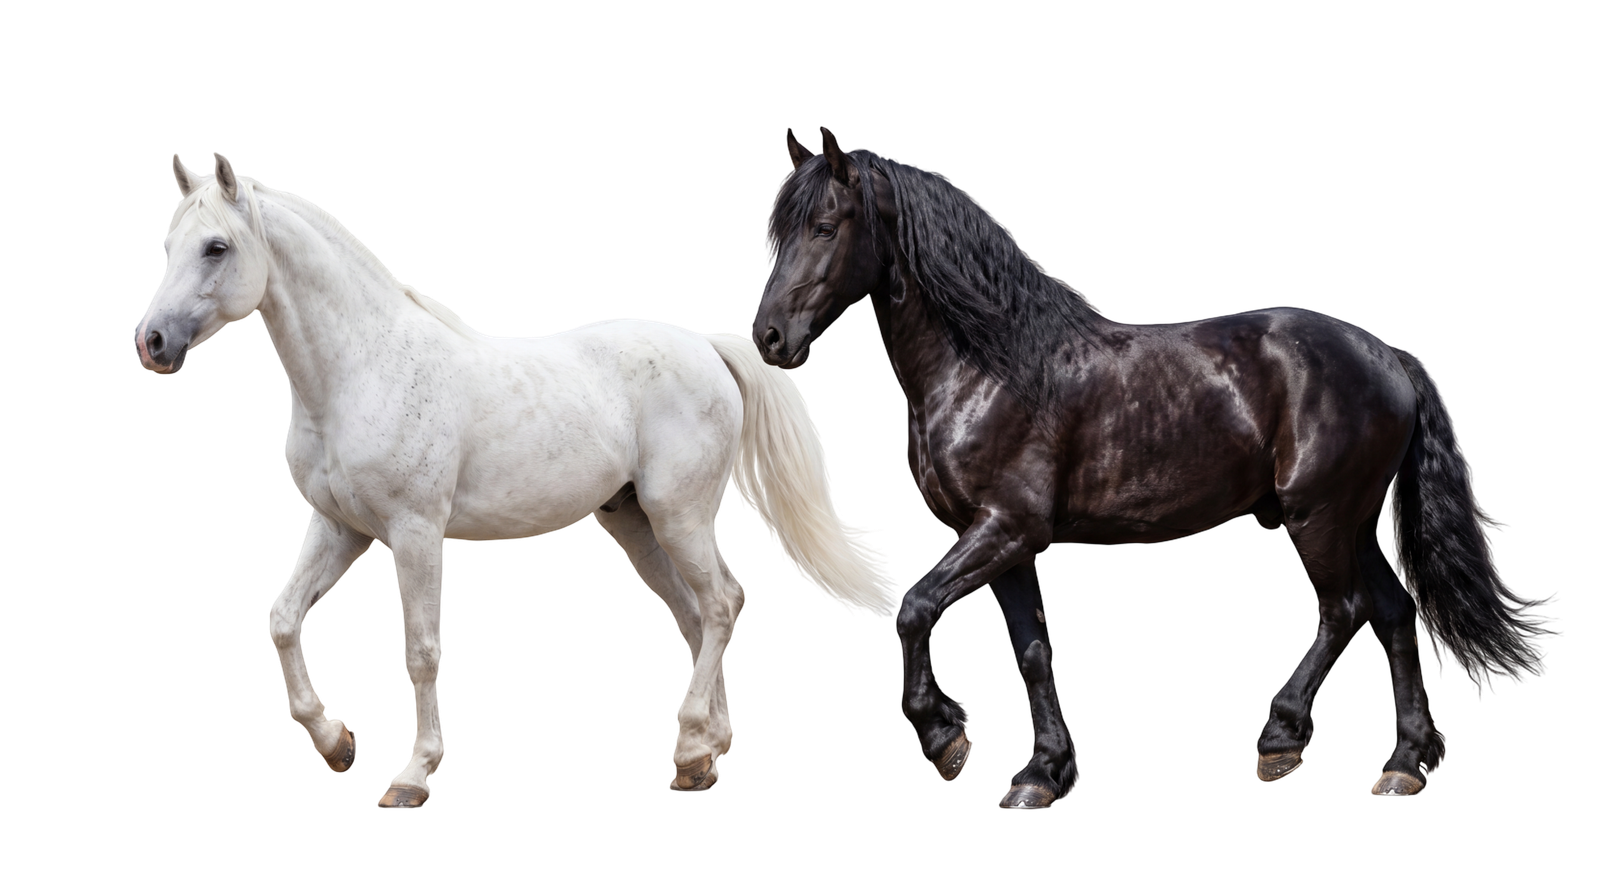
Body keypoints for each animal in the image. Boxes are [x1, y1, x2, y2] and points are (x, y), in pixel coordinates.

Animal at [133, 152, 895, 808]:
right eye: (172, 246)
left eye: (216, 248)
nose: (152, 343)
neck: (363, 367)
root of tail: (708, 347)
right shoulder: (341, 528)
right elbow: (284, 620)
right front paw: (335, 742)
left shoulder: (414, 533)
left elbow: (421, 650)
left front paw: (413, 775)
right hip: (637, 525)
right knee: (696, 611)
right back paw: (707, 750)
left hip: (677, 515)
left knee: (721, 603)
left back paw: (689, 748)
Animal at [750, 128, 1564, 809]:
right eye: (776, 233)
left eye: (825, 226)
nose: (770, 338)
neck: (989, 366)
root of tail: (1387, 354)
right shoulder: (1007, 542)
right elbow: (1032, 651)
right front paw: (1042, 774)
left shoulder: (1004, 527)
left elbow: (916, 607)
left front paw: (946, 736)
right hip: (1353, 521)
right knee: (1394, 617)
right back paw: (1404, 764)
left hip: (1319, 516)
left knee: (1346, 612)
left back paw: (1282, 739)